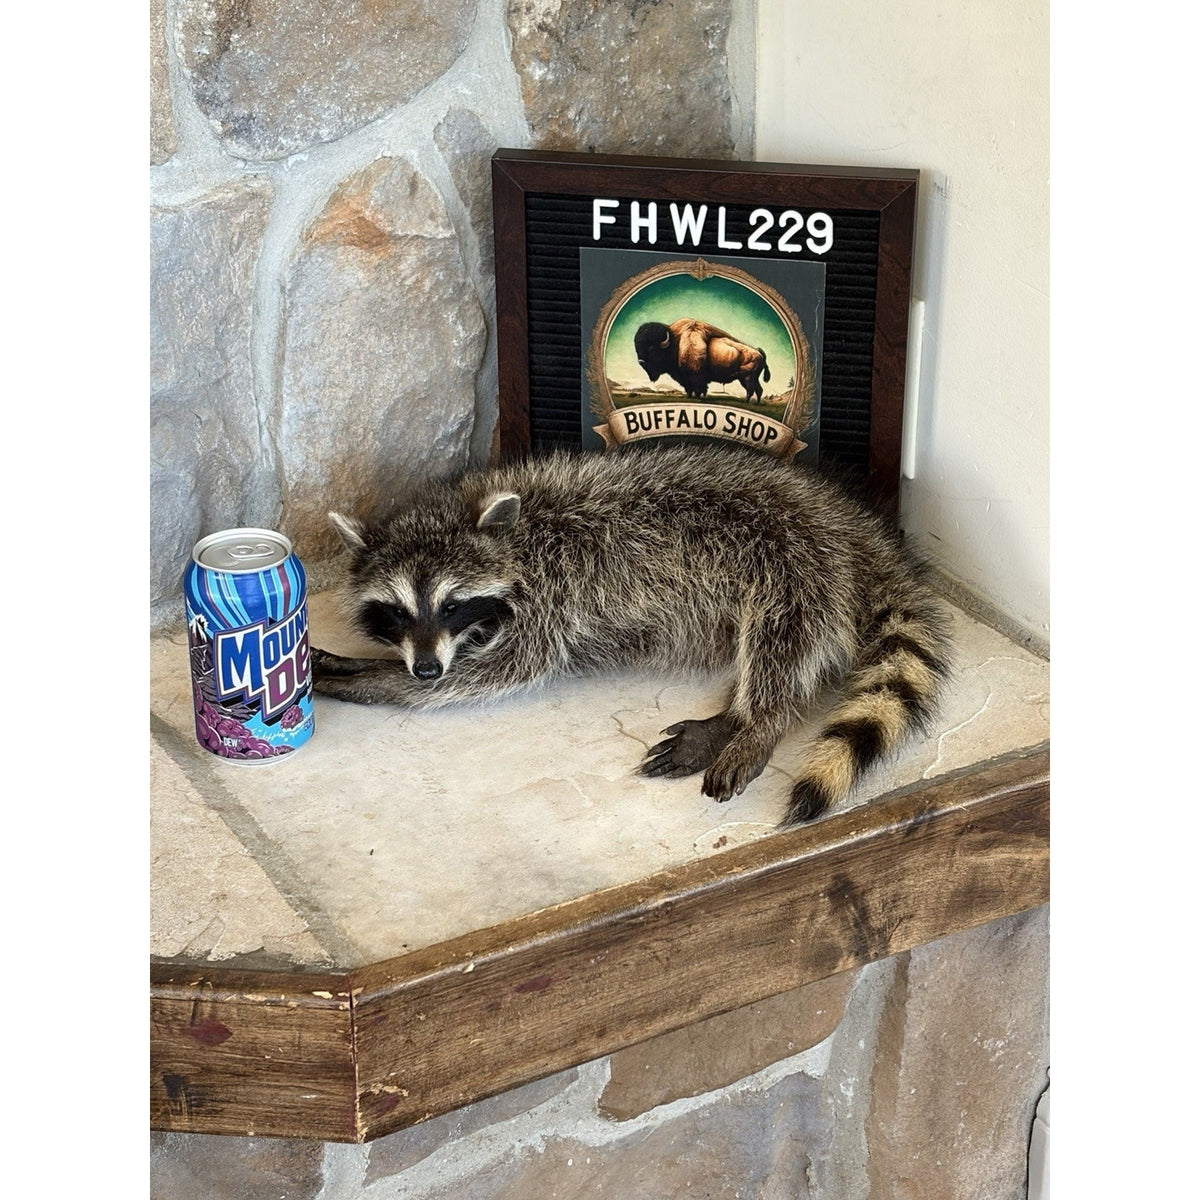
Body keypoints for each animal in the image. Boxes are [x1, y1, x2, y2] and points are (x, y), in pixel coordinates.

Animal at [312, 444, 953, 825]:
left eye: (451, 605)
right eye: (397, 612)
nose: (423, 667)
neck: (510, 534)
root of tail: (858, 528)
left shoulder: (551, 593)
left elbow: (502, 668)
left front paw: (379, 681)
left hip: (797, 556)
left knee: (782, 639)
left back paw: (757, 721)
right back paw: (733, 717)